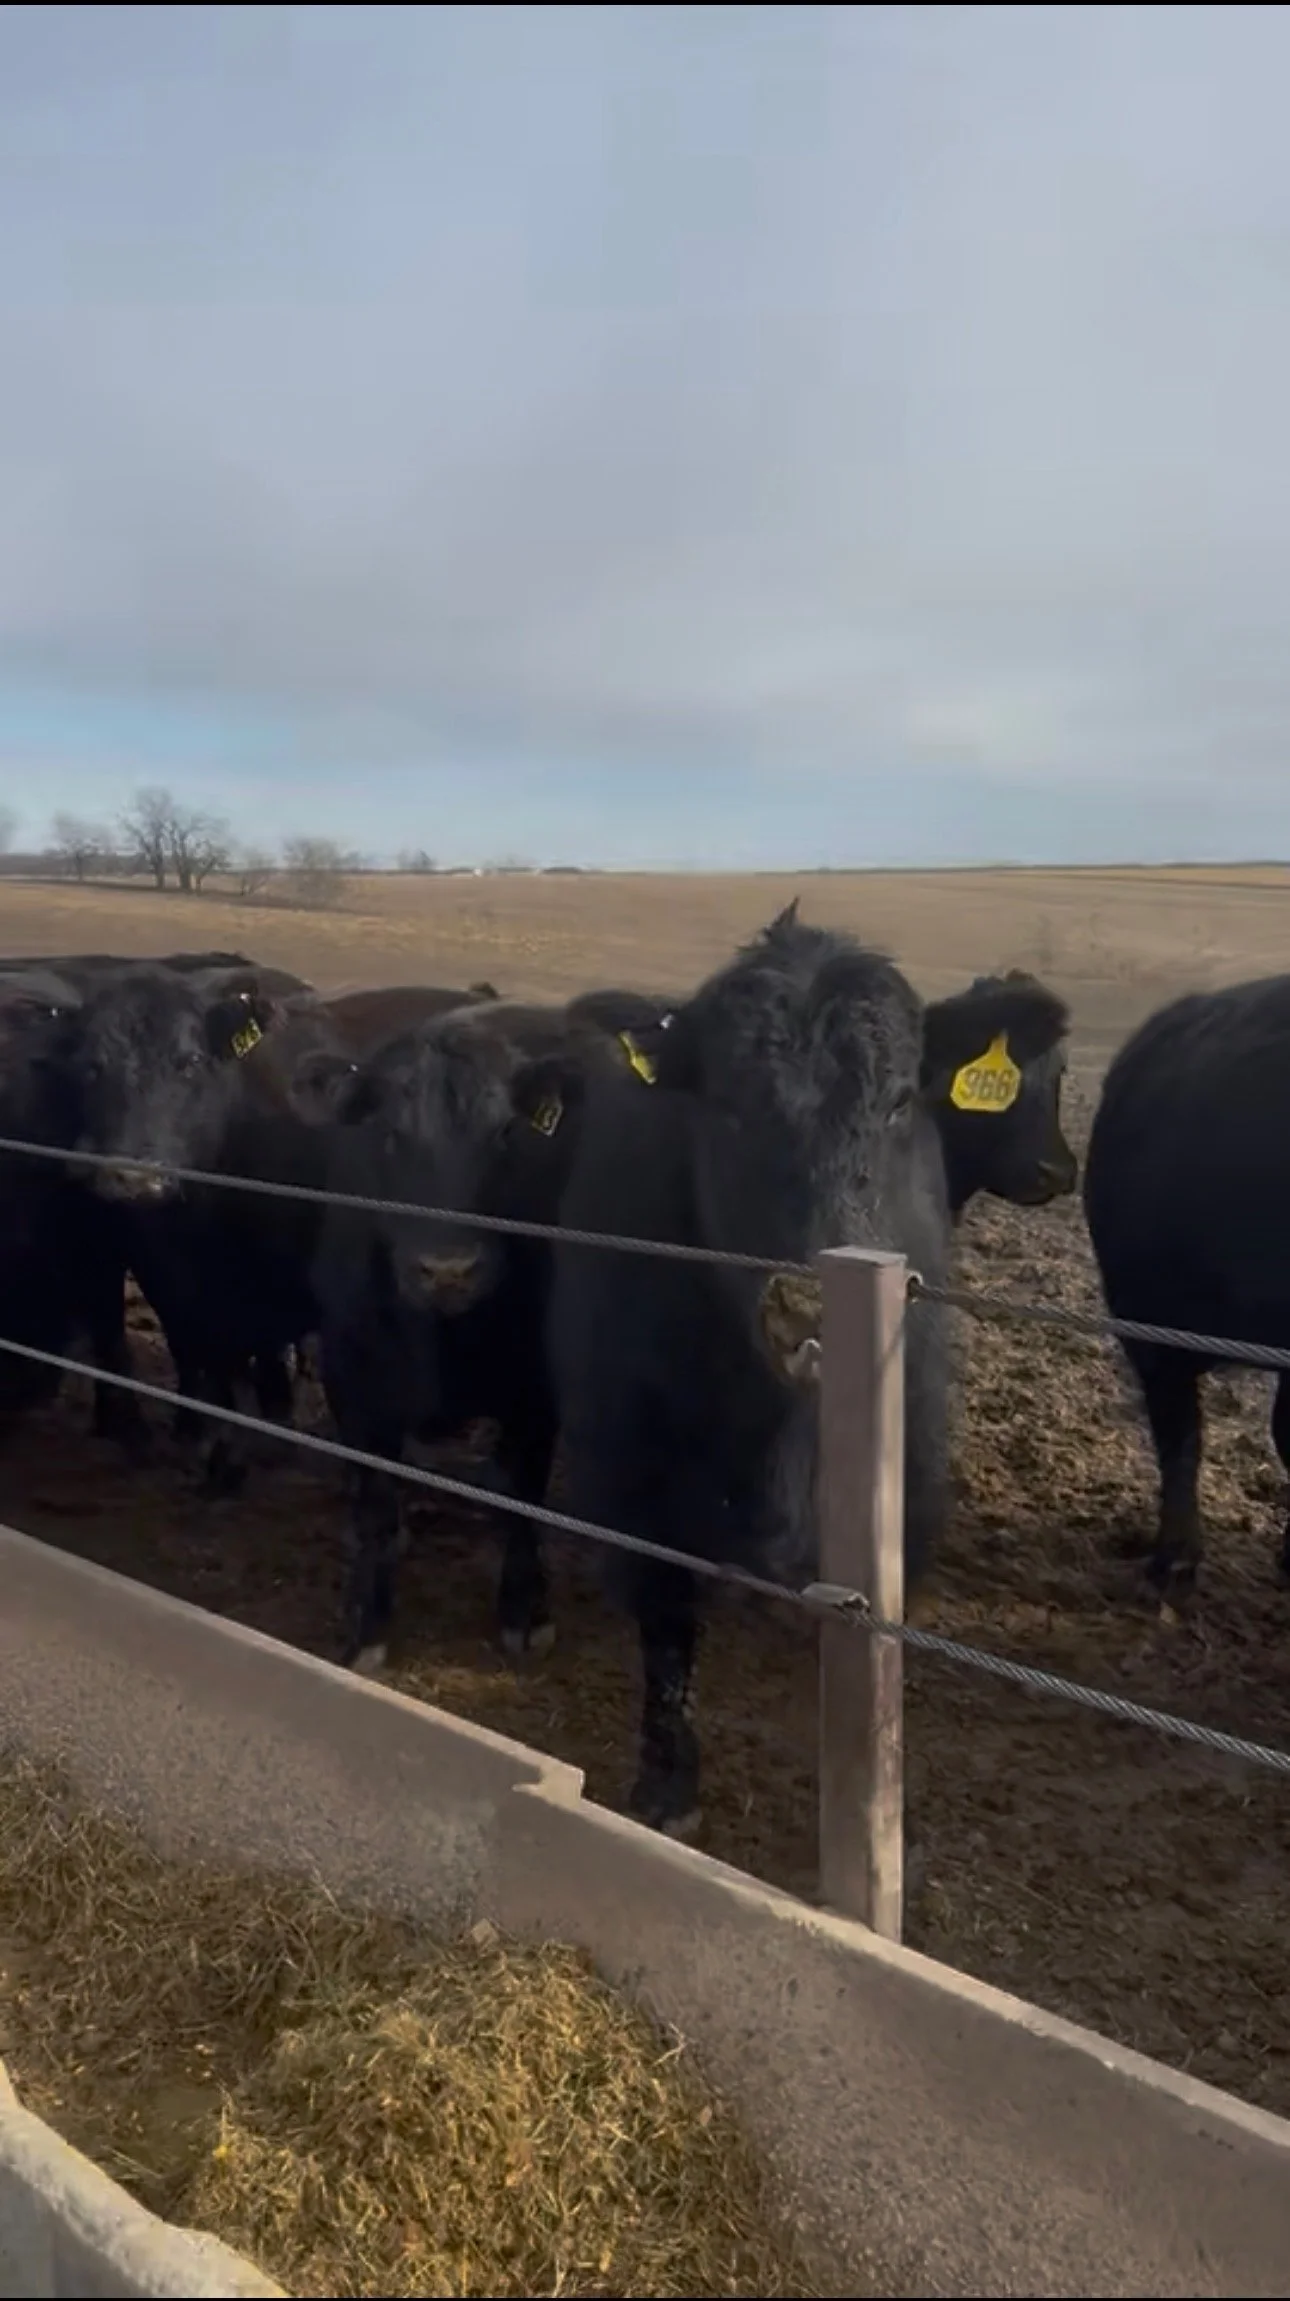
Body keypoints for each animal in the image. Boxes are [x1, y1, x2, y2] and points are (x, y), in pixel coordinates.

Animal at [539, 905, 1077, 1838]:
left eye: (898, 1101)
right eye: (726, 1107)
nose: (809, 1306)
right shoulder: (628, 1462)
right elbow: (665, 1627)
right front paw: (668, 1784)